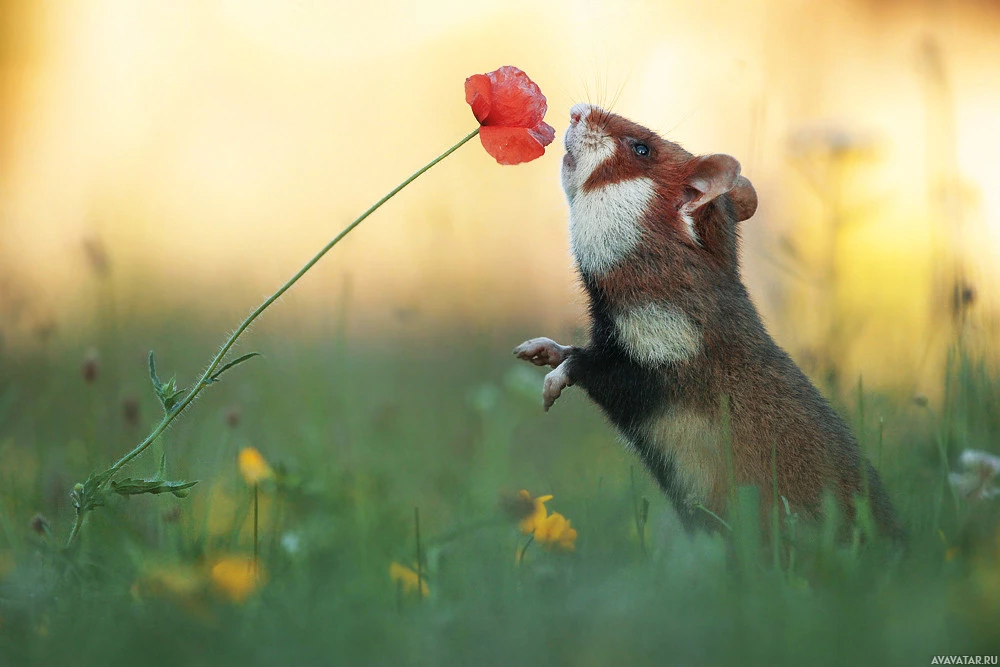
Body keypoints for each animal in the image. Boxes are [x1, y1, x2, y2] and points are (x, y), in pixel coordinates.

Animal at [520, 105, 904, 544]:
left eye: (641, 148)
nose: (577, 110)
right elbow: (572, 350)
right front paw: (537, 350)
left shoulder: (653, 366)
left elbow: (583, 366)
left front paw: (550, 384)